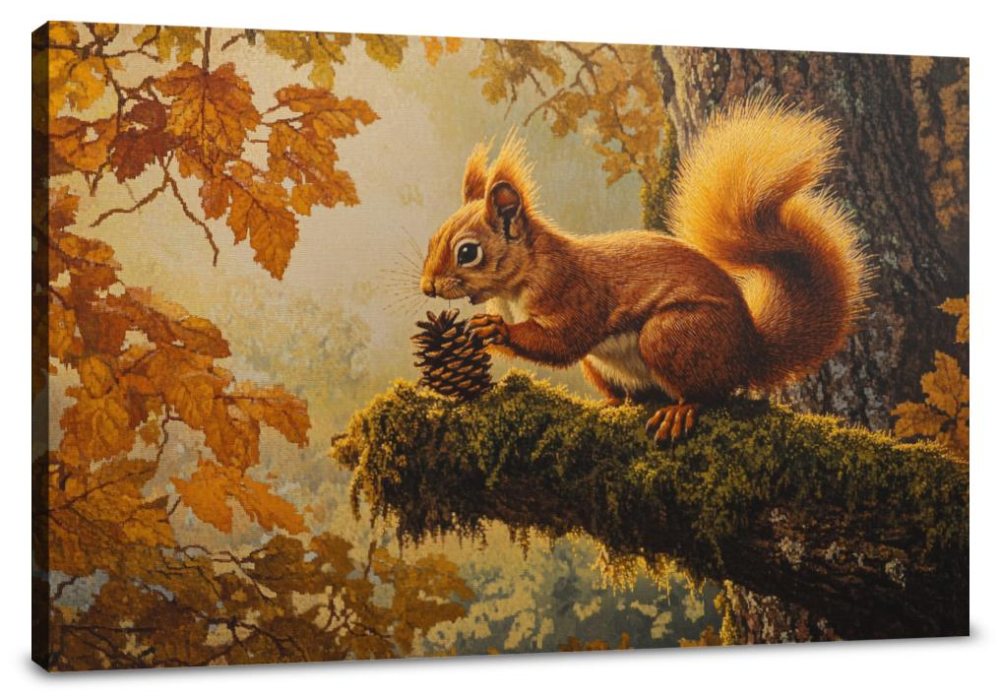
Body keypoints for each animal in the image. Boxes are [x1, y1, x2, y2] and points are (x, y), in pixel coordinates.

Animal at [419, 99, 868, 443]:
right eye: (432, 239)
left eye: (468, 252)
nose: (427, 287)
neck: (517, 283)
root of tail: (751, 349)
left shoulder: (572, 291)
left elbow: (563, 341)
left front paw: (498, 330)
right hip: (602, 365)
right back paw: (613, 403)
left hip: (674, 335)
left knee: (711, 392)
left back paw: (681, 410)